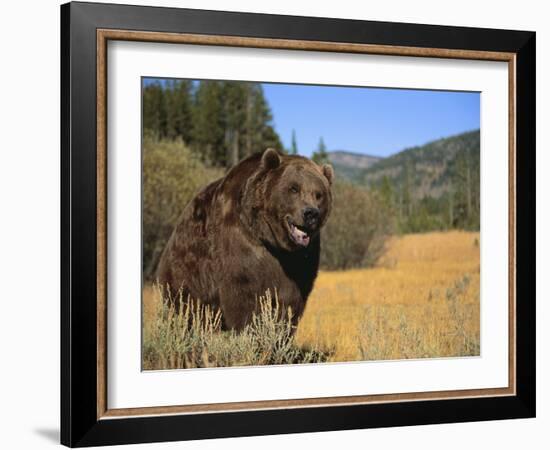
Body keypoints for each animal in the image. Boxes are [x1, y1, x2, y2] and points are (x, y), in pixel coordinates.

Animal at [157, 148, 334, 330]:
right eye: (294, 188)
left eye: (319, 194)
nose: (311, 213)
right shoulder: (241, 242)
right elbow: (245, 296)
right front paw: (251, 329)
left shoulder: (301, 260)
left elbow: (290, 300)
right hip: (188, 268)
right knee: (185, 305)